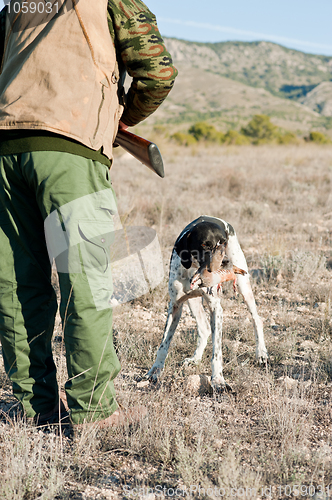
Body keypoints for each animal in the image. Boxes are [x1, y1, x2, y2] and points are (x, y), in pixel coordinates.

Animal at [147, 215, 268, 390]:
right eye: (205, 244)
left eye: (223, 243)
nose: (226, 262)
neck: (194, 269)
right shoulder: (175, 305)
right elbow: (163, 345)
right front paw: (155, 371)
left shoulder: (216, 309)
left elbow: (216, 352)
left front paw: (218, 380)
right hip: (193, 302)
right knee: (203, 328)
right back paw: (195, 359)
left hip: (243, 285)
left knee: (256, 319)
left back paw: (261, 353)